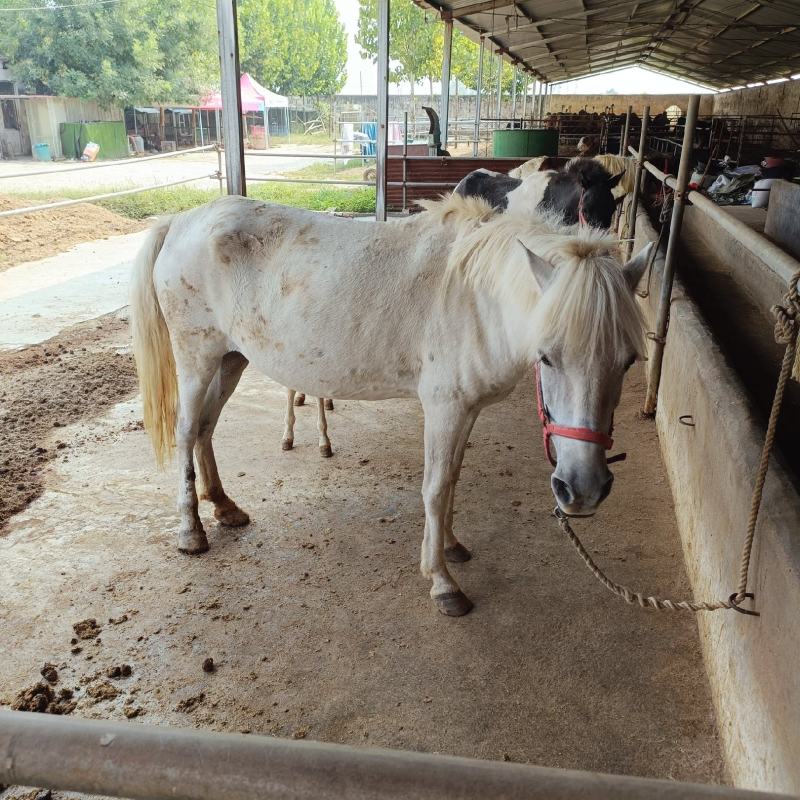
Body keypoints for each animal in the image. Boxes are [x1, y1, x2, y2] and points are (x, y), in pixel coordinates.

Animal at [131, 193, 651, 616]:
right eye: (546, 356)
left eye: (628, 360)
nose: (583, 490)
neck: (474, 296)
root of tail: (181, 221)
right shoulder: (444, 408)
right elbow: (436, 488)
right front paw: (442, 583)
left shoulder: (466, 411)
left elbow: (452, 478)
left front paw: (451, 546)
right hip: (197, 357)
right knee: (185, 431)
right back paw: (191, 532)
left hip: (231, 359)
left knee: (206, 428)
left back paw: (224, 506)